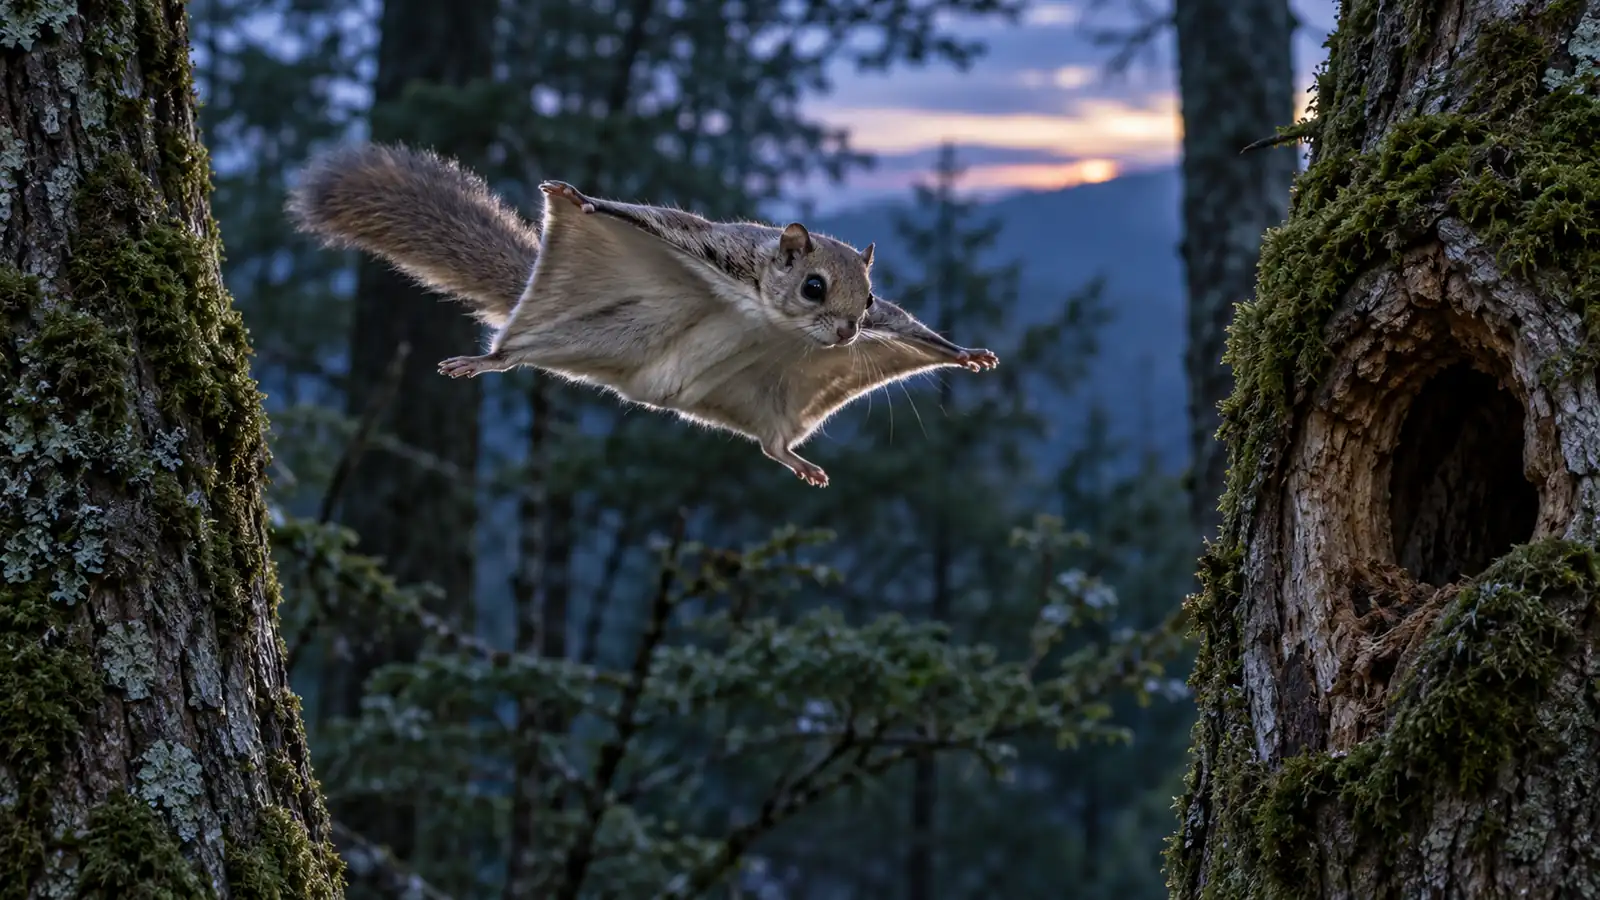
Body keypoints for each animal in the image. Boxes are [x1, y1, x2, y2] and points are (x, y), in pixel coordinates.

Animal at [287, 142, 999, 487]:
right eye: (815, 287)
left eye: (870, 298)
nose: (851, 332)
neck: (768, 314)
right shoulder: (711, 247)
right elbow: (645, 217)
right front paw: (578, 197)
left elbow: (920, 335)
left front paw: (967, 354)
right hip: (585, 330)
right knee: (515, 351)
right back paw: (484, 359)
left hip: (767, 401)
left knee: (772, 445)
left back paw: (799, 464)